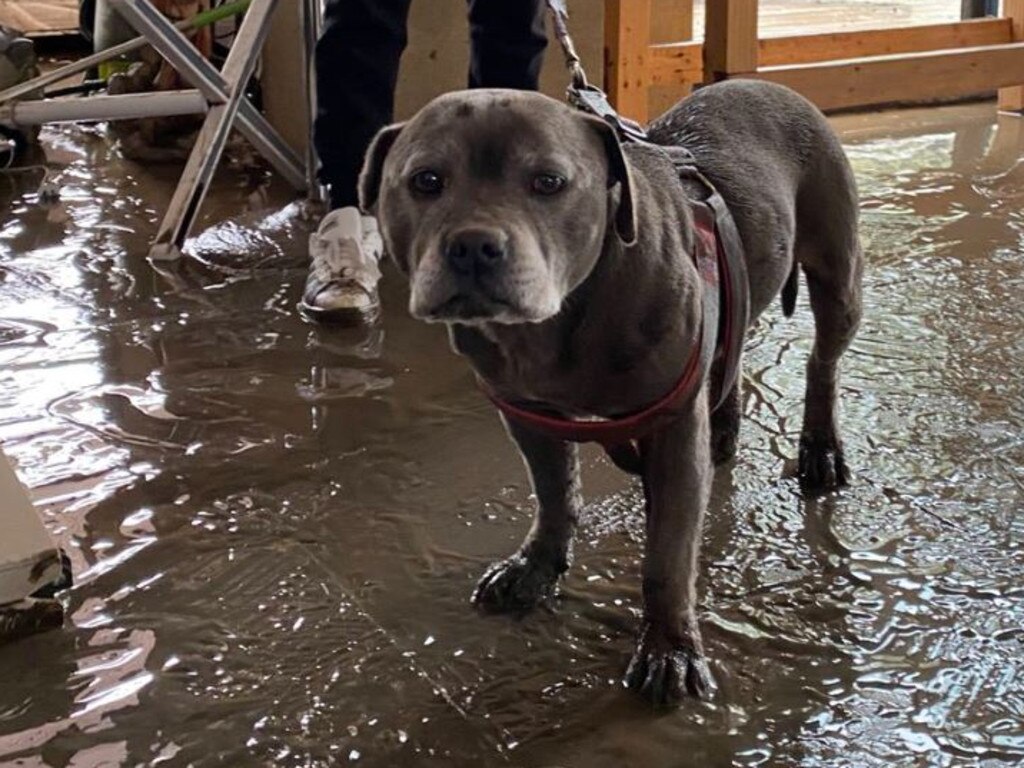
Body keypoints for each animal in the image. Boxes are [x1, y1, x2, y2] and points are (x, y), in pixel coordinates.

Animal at [360, 81, 864, 708]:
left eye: (549, 182)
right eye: (426, 180)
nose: (474, 246)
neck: (561, 320)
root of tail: (770, 85)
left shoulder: (673, 431)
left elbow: (667, 557)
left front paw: (670, 648)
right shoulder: (529, 415)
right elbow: (553, 494)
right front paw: (537, 567)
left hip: (837, 277)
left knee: (823, 362)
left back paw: (820, 448)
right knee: (734, 353)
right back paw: (726, 428)